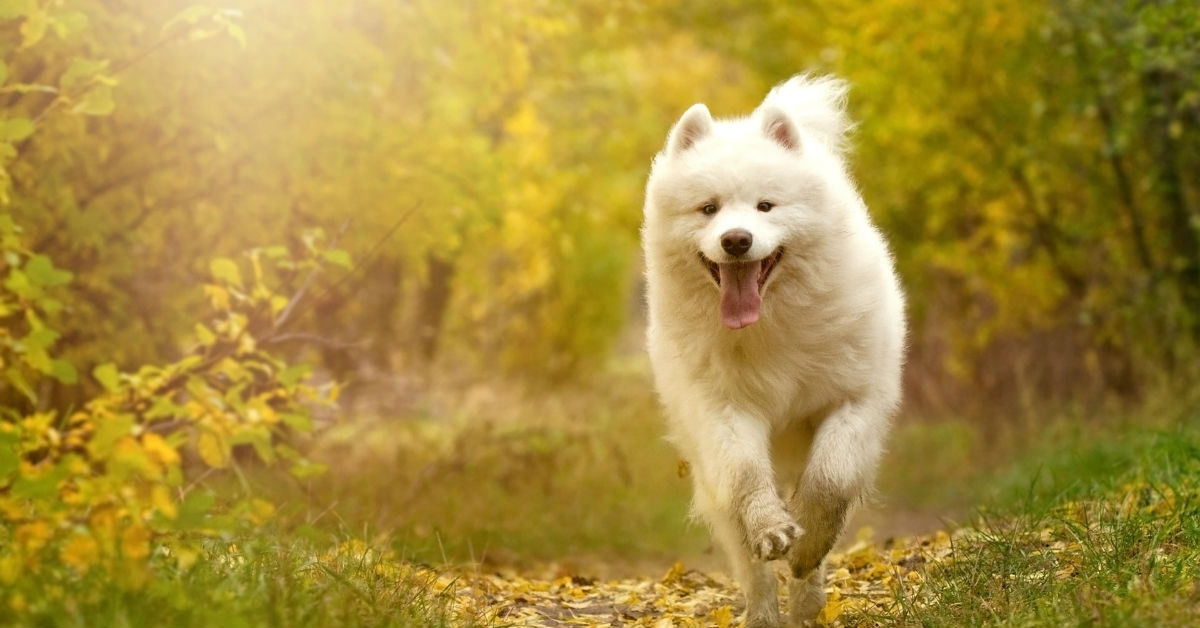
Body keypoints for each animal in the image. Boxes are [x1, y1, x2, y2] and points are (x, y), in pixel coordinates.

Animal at [643, 76, 902, 624]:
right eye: (709, 208)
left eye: (765, 206)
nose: (737, 240)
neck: (772, 323)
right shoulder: (723, 409)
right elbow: (747, 479)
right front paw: (772, 528)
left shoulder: (853, 399)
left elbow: (829, 480)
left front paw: (806, 548)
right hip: (709, 474)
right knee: (749, 561)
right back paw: (764, 611)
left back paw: (807, 604)